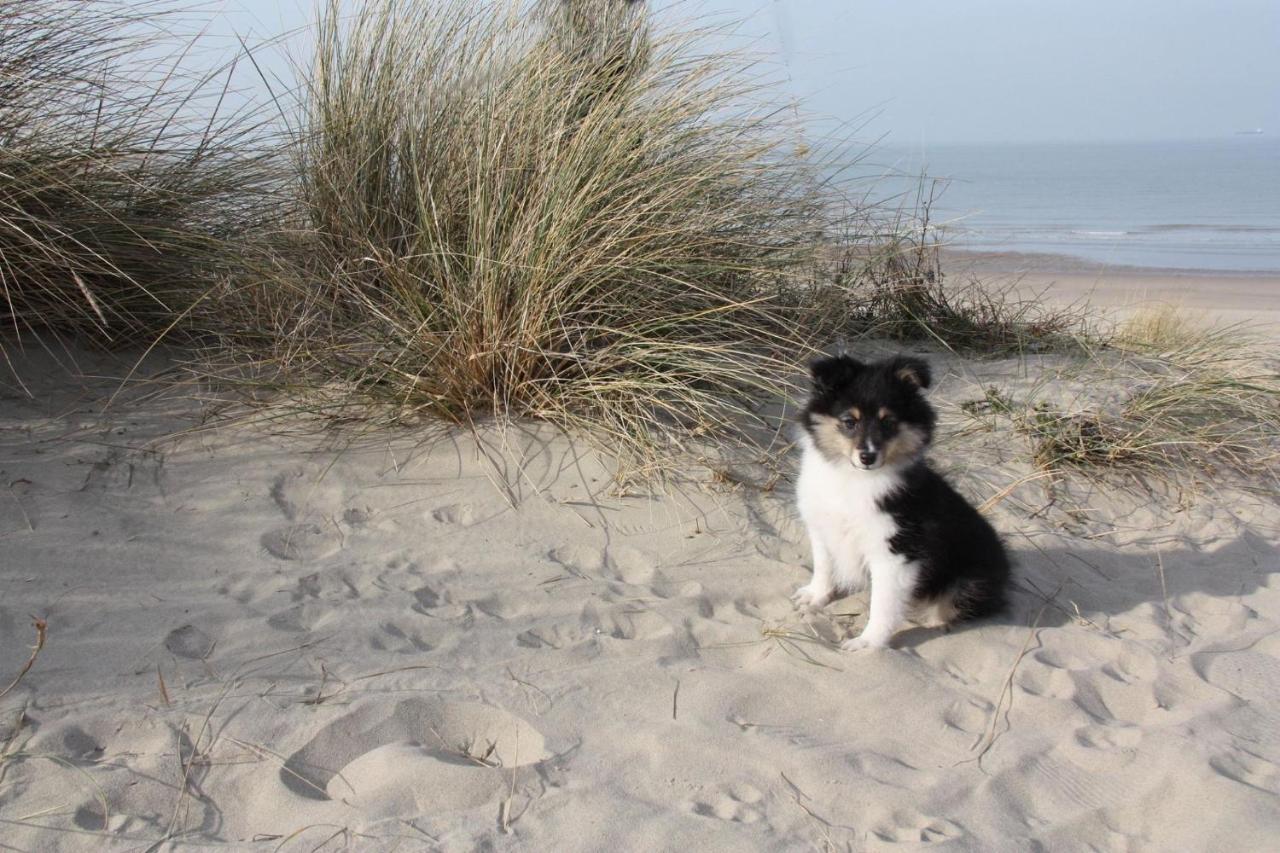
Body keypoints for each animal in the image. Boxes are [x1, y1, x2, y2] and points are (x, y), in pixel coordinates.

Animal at [788, 350, 1008, 645]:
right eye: (849, 422)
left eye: (889, 422)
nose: (868, 457)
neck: (853, 478)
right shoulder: (822, 527)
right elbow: (824, 567)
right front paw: (814, 597)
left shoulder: (895, 550)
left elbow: (883, 603)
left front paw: (866, 644)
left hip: (968, 581)